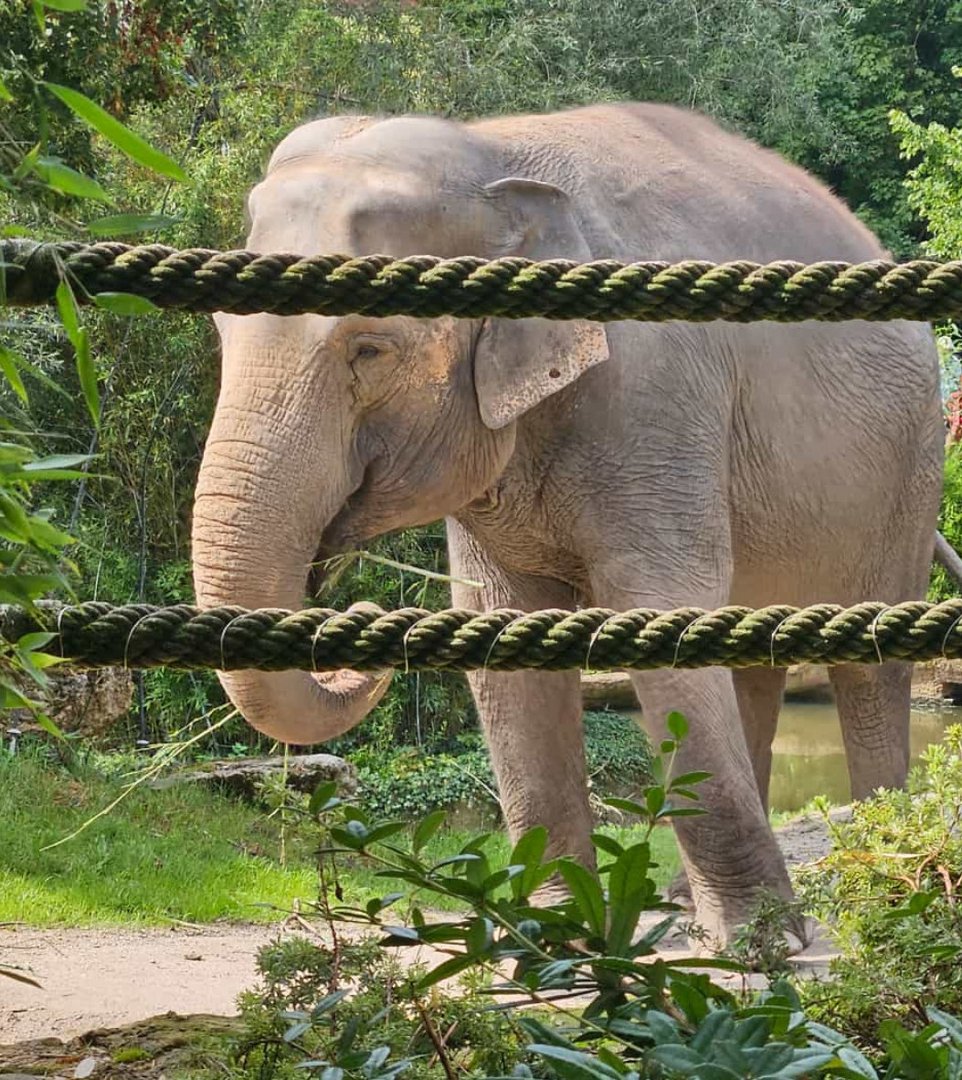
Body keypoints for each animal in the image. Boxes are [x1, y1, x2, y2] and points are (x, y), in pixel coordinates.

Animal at [192, 101, 945, 946]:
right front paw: (550, 932)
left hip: (908, 468)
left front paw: (759, 947)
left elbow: (661, 614)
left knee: (869, 666)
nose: (352, 604)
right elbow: (501, 630)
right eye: (218, 326)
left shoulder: (656, 395)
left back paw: (881, 878)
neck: (495, 154)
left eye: (370, 349)